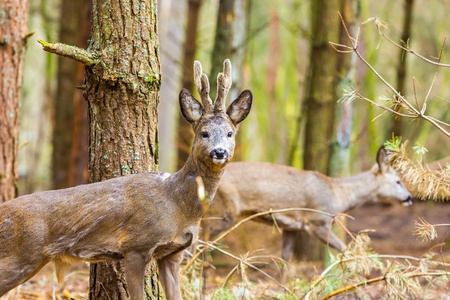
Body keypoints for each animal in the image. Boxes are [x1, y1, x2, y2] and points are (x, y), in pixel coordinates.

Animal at [0, 59, 253, 300]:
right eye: (204, 133)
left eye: (230, 133)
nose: (219, 152)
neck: (179, 206)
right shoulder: (135, 245)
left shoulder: (173, 254)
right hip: (22, 256)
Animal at [203, 147, 412, 262]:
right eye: (398, 181)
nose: (409, 197)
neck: (339, 195)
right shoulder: (318, 221)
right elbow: (345, 250)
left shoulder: (291, 228)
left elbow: (285, 261)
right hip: (225, 210)